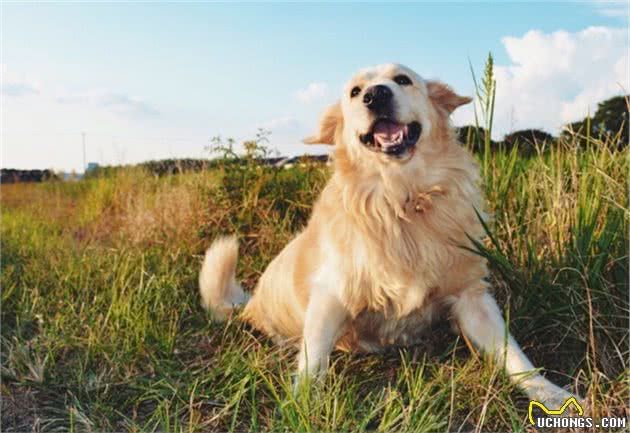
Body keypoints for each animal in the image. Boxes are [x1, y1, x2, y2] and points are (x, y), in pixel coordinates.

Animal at [200, 63, 576, 404]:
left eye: (402, 79)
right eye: (354, 92)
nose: (375, 95)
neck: (401, 200)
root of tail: (248, 304)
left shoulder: (472, 296)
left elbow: (516, 357)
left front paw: (553, 395)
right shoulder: (330, 297)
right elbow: (312, 363)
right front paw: (302, 406)